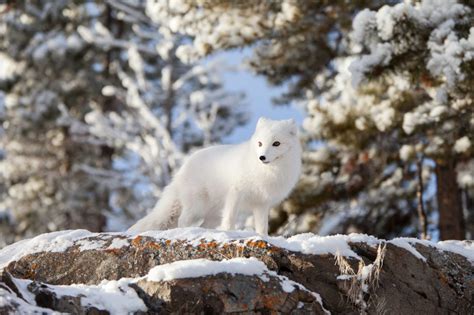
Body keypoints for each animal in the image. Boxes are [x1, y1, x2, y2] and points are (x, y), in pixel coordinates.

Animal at [128, 117, 302, 236]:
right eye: (260, 143)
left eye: (276, 143)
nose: (262, 157)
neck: (268, 172)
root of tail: (182, 168)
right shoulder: (236, 192)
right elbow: (230, 218)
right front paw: (230, 233)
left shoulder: (261, 204)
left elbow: (262, 227)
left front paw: (263, 237)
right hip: (197, 207)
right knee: (182, 220)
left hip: (212, 215)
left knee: (203, 225)